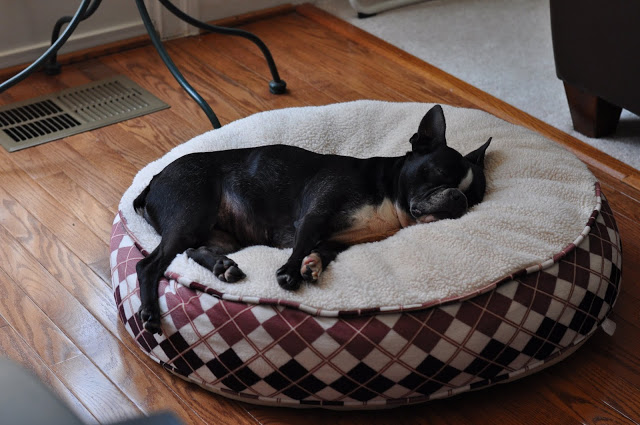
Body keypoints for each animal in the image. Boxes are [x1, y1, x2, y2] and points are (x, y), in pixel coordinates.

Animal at [134, 105, 491, 334]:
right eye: (440, 174)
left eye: (476, 197)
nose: (459, 198)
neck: (388, 196)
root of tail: (153, 180)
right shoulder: (315, 215)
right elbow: (303, 243)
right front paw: (290, 273)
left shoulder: (339, 240)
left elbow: (322, 251)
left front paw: (313, 266)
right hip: (191, 213)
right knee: (149, 265)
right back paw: (150, 313)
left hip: (222, 236)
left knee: (193, 250)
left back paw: (223, 267)